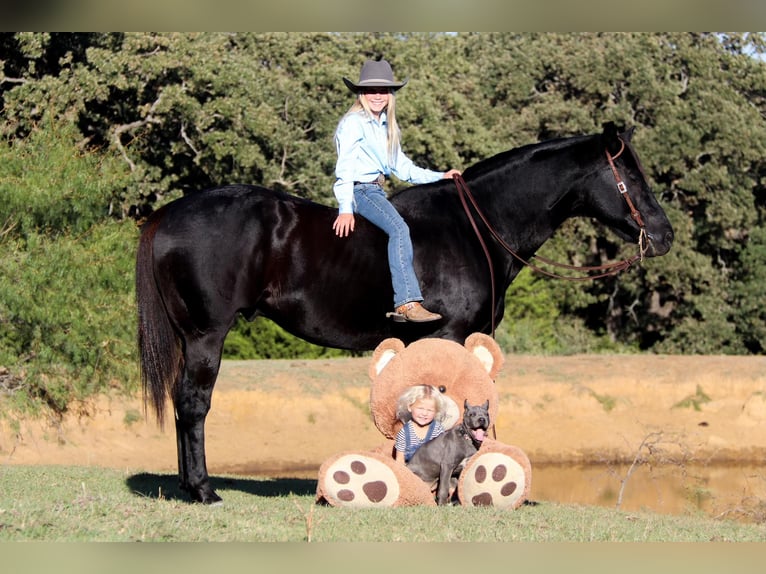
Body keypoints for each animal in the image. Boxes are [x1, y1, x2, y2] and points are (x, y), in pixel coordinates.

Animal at [136, 121, 672, 504]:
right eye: (630, 176)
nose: (664, 234)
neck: (472, 228)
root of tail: (166, 215)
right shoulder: (449, 335)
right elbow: (441, 404)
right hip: (206, 335)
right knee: (194, 404)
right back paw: (204, 490)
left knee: (183, 403)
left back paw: (187, 486)